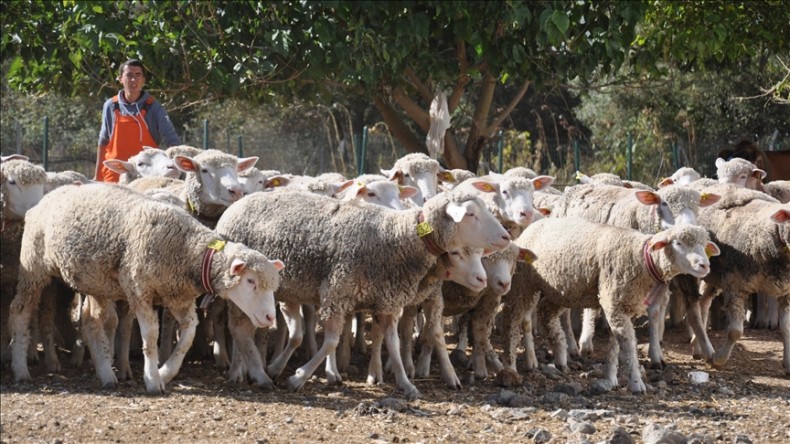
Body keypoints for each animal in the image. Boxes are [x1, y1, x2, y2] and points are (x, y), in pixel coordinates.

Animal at [10, 182, 284, 394]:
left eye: (272, 286)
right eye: (251, 281)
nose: (270, 317)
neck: (188, 253)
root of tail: (43, 200)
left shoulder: (178, 297)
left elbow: (188, 335)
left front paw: (165, 372)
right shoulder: (139, 290)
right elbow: (151, 335)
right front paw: (153, 380)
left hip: (96, 282)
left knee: (91, 323)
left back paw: (106, 374)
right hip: (33, 266)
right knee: (21, 311)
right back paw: (21, 369)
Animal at [215, 184, 512, 398]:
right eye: (471, 214)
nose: (507, 237)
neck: (398, 237)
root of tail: (236, 204)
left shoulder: (388, 302)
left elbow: (393, 344)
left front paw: (406, 384)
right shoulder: (337, 292)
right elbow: (332, 342)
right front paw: (298, 377)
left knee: (271, 330)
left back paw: (264, 368)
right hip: (243, 289)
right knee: (240, 329)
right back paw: (244, 371)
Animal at [516, 219, 720, 392]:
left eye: (704, 246)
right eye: (678, 243)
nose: (705, 265)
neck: (640, 259)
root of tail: (537, 223)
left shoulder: (621, 305)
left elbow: (615, 344)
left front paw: (611, 378)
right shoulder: (614, 303)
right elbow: (628, 345)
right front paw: (636, 384)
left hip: (562, 292)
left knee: (546, 313)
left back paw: (560, 358)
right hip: (527, 284)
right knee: (525, 321)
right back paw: (532, 361)